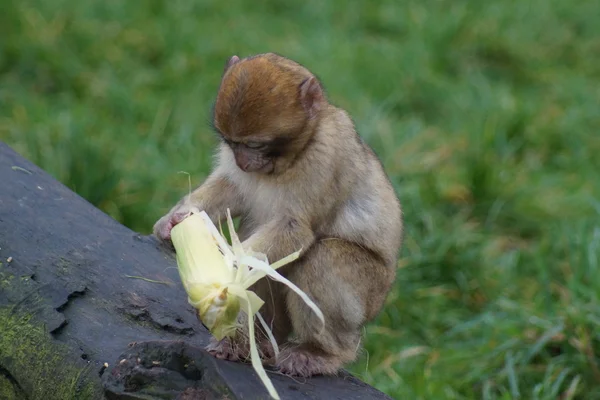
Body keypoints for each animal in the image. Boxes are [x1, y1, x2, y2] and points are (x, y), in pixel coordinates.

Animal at [154, 54, 404, 378]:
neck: (297, 153)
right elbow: (231, 188)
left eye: (255, 144)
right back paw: (250, 342)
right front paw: (175, 220)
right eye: (232, 143)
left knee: (323, 257)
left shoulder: (324, 158)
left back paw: (321, 353)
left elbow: (295, 230)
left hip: (369, 293)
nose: (243, 161)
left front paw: (229, 267)